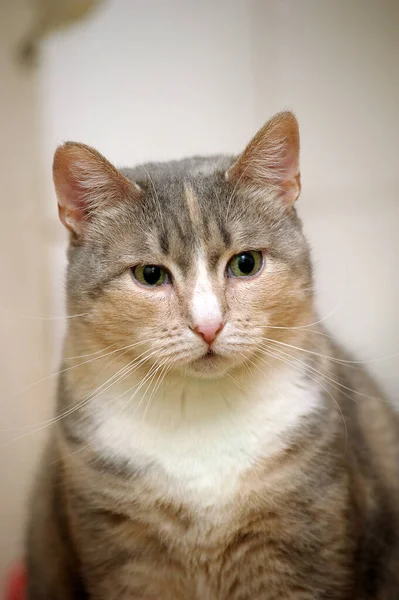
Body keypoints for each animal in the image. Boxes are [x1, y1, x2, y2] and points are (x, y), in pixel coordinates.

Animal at [26, 111, 399, 596]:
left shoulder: (304, 539)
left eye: (246, 263)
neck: (199, 412)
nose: (209, 325)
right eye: (150, 275)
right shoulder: (124, 554)